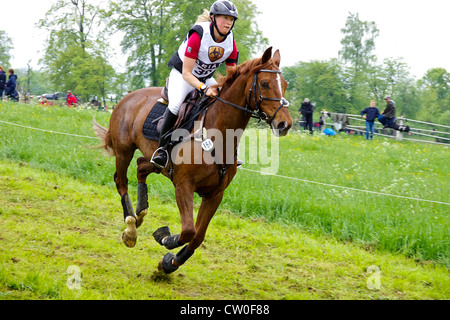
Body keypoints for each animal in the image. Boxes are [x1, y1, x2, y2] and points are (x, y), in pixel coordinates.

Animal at [93, 46, 294, 274]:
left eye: (285, 85)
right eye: (265, 84)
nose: (284, 124)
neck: (218, 134)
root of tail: (127, 97)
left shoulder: (215, 194)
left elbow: (197, 236)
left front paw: (168, 264)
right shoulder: (184, 185)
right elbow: (188, 230)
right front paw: (165, 238)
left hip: (157, 163)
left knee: (141, 167)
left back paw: (141, 212)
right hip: (123, 150)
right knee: (121, 180)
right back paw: (130, 228)